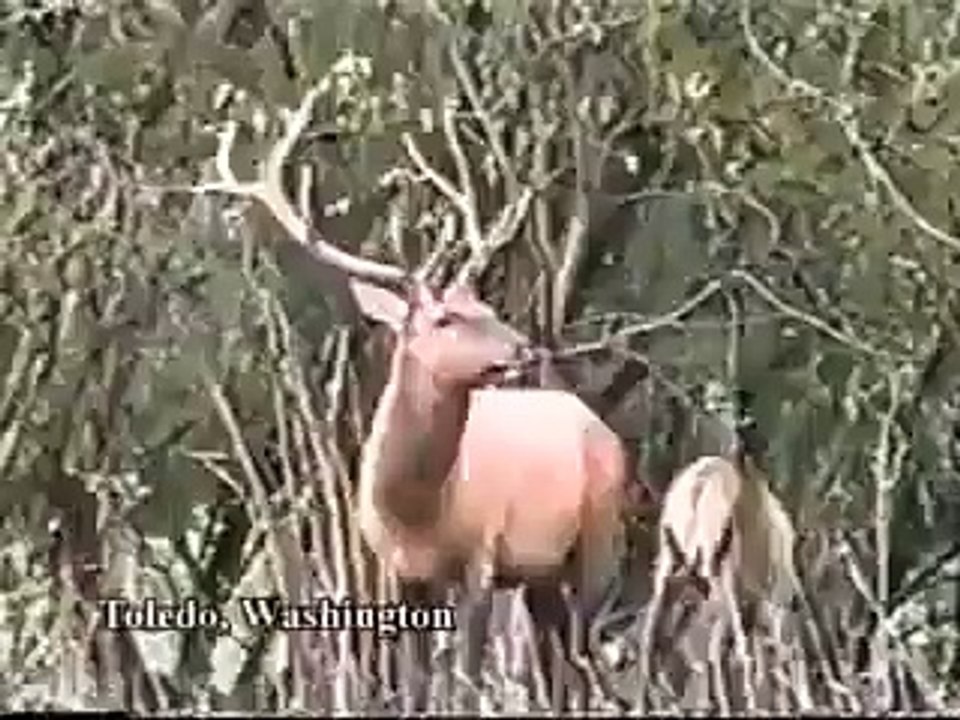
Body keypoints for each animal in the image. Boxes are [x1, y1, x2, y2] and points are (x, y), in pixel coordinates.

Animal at [183, 90, 630, 713]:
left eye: (487, 305)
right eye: (446, 318)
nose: (525, 348)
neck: (419, 513)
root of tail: (603, 428)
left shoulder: (481, 557)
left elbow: (464, 680)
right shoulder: (397, 573)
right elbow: (418, 684)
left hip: (598, 540)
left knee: (584, 655)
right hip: (541, 573)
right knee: (565, 659)